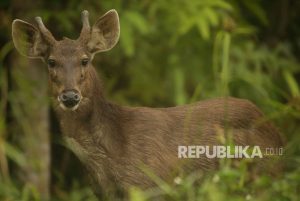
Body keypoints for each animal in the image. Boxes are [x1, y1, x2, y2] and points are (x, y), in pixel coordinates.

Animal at [11, 9, 284, 199]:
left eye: (85, 60)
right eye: (51, 62)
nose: (70, 96)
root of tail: (276, 132)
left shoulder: (150, 184)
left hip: (263, 173)